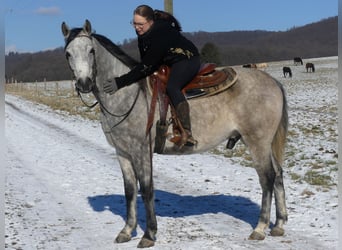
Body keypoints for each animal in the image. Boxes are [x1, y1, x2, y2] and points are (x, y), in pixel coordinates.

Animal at [60, 20, 288, 248]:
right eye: (68, 54)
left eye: (91, 50)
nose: (84, 83)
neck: (127, 92)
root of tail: (273, 82)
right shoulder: (122, 152)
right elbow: (130, 190)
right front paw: (126, 231)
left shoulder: (141, 150)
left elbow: (147, 189)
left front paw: (148, 234)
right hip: (266, 144)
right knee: (278, 174)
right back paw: (278, 224)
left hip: (257, 141)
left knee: (267, 178)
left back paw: (260, 228)